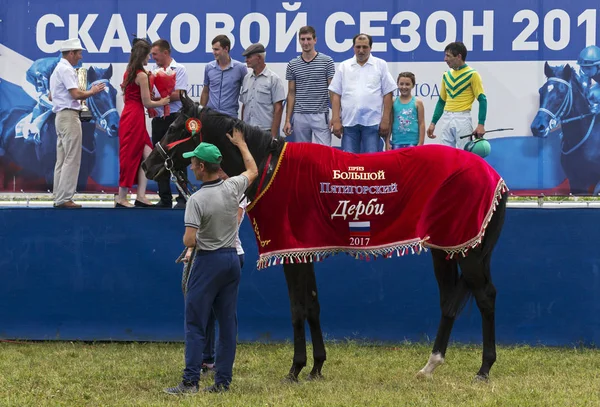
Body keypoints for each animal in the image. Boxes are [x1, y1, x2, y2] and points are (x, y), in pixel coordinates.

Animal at [143, 92, 508, 382]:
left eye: (174, 128)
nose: (148, 166)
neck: (268, 166)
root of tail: (494, 177)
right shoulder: (304, 251)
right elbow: (313, 304)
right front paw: (317, 367)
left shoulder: (289, 251)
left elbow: (297, 307)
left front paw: (295, 369)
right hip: (446, 249)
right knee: (449, 300)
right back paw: (431, 365)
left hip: (468, 252)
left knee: (486, 296)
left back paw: (484, 368)